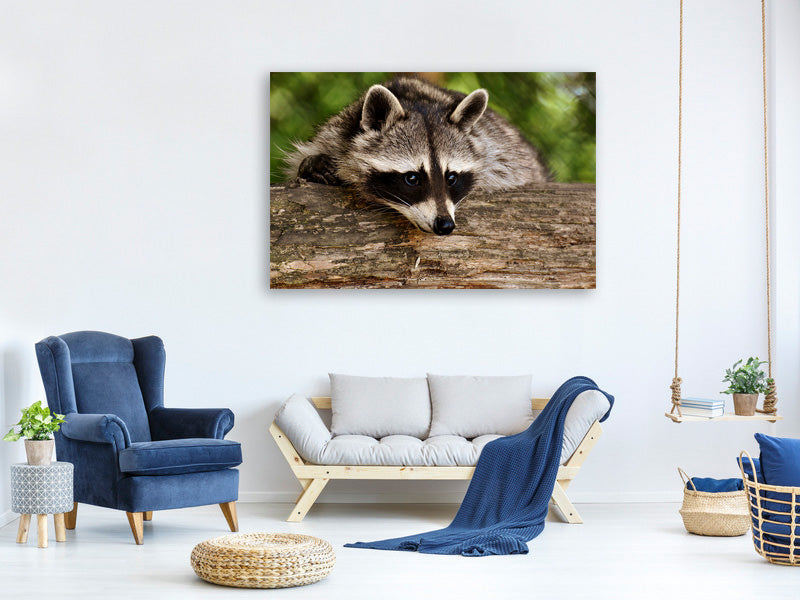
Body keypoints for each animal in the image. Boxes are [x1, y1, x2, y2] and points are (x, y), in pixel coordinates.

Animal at [283, 77, 549, 235]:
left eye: (451, 177)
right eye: (412, 178)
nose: (445, 225)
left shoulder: (499, 151)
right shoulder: (335, 134)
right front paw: (312, 165)